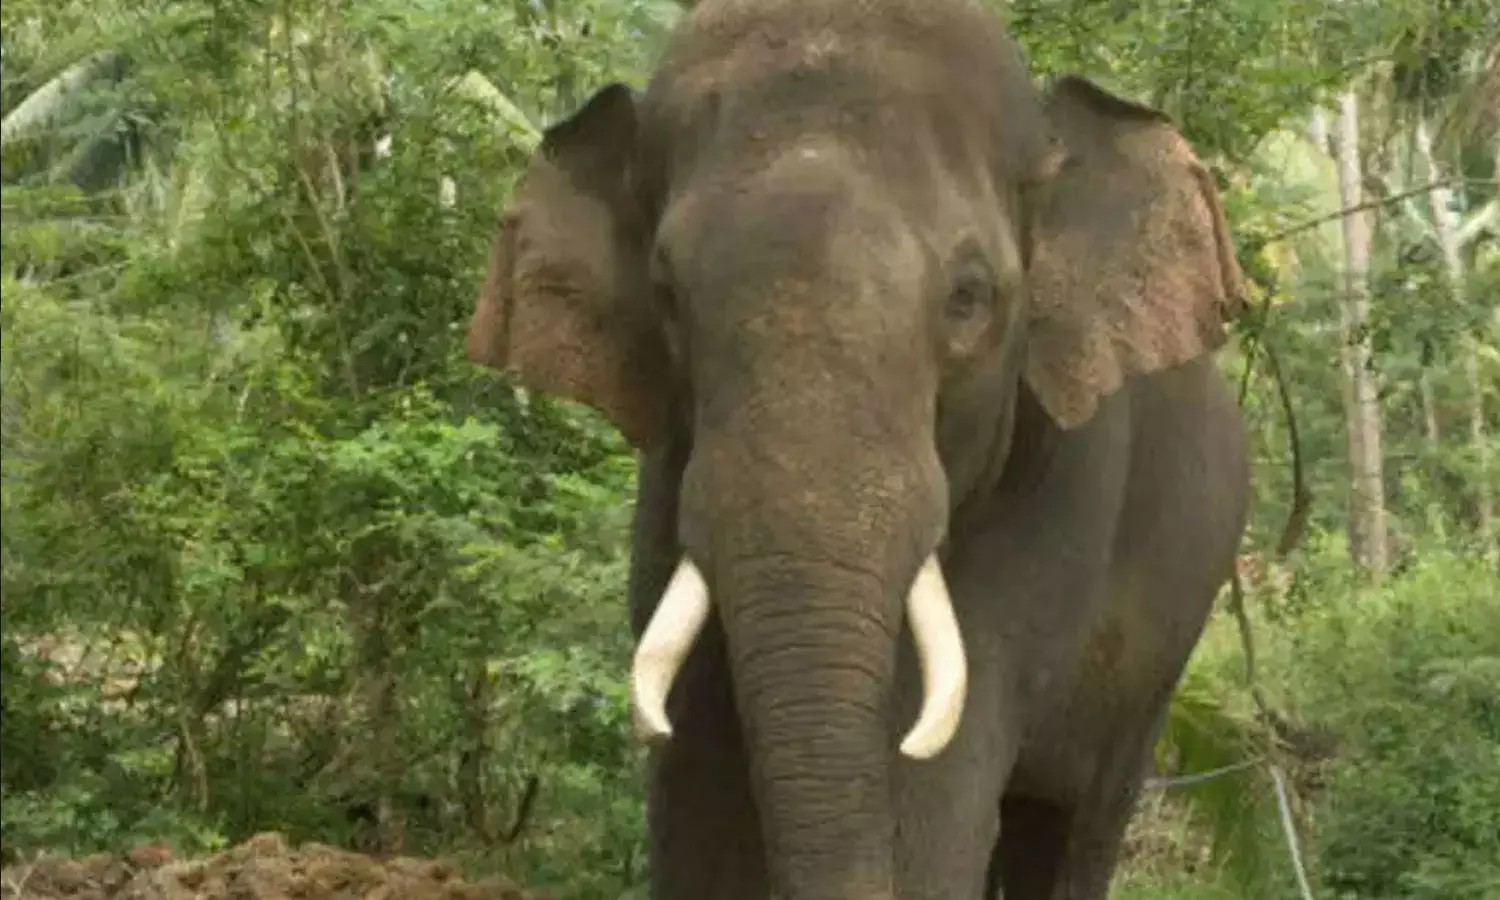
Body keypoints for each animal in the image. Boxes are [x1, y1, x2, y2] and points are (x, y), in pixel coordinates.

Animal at [464, 0, 1250, 897]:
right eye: (666, 295)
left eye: (969, 298)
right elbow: (698, 781)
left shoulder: (1060, 490)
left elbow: (931, 792)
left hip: (1168, 649)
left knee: (1075, 825)